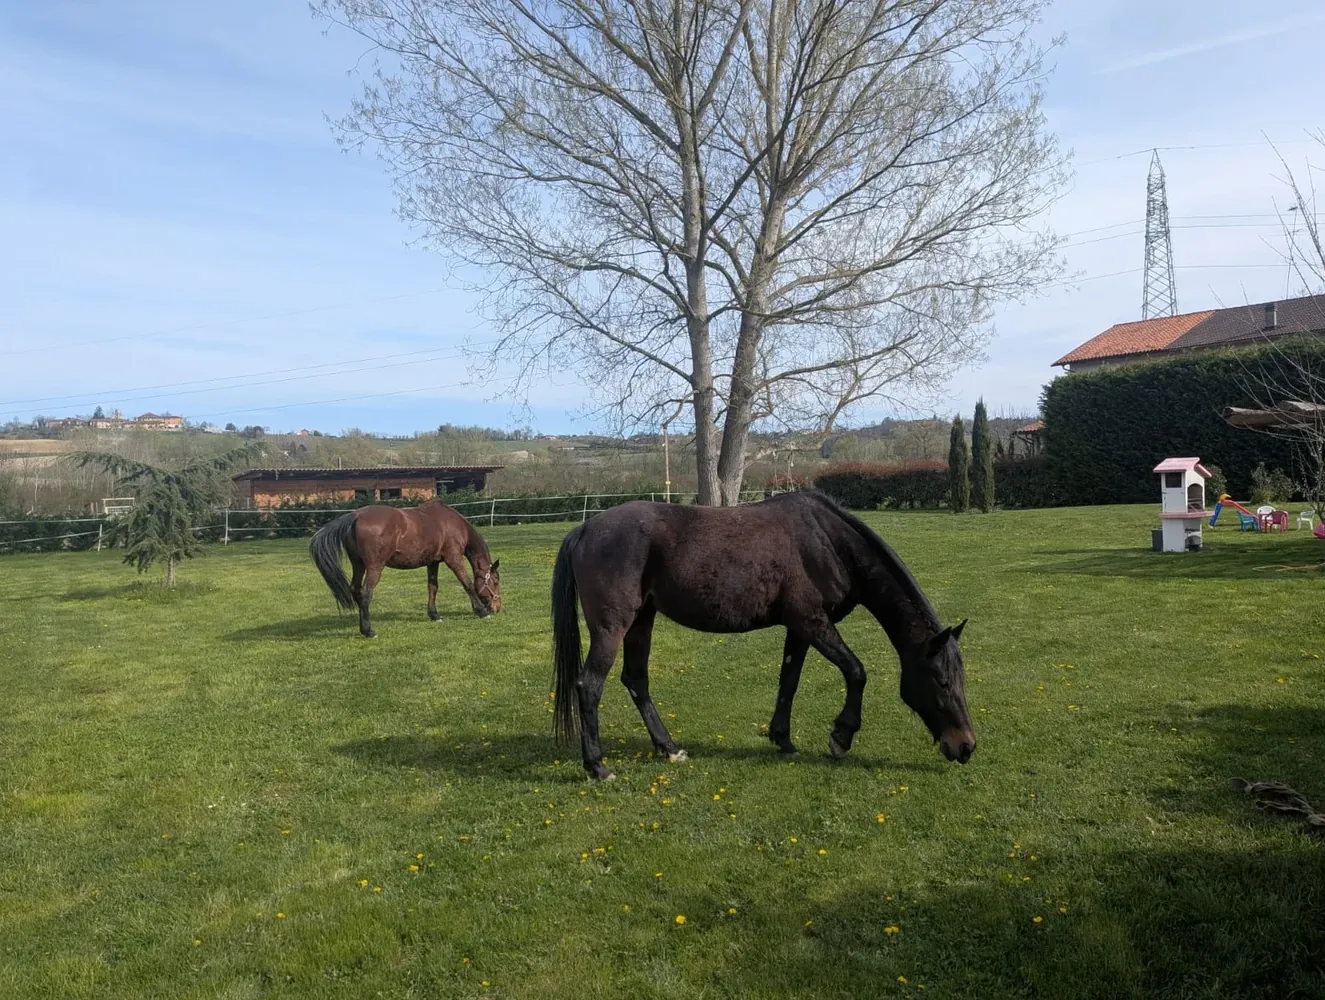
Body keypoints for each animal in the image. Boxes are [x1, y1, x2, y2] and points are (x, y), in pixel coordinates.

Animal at [309, 501, 501, 638]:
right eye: (496, 582)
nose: (497, 607)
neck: (449, 523)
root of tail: (355, 516)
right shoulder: (454, 559)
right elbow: (468, 584)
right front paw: (481, 612)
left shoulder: (433, 563)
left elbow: (433, 587)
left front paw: (434, 615)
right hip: (375, 567)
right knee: (365, 594)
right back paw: (369, 631)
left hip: (358, 565)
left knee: (355, 590)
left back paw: (363, 628)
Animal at [550, 489, 974, 780]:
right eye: (941, 681)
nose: (966, 746)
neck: (826, 541)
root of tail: (586, 529)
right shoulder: (813, 622)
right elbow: (856, 672)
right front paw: (841, 737)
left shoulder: (799, 629)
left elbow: (789, 681)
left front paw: (782, 739)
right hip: (613, 627)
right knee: (589, 686)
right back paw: (598, 767)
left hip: (642, 620)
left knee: (636, 680)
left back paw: (669, 748)